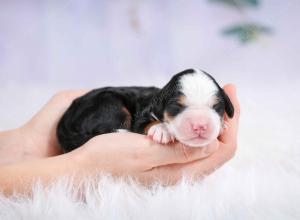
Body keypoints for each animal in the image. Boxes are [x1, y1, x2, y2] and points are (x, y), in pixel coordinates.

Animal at [56, 69, 234, 153]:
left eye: (216, 107)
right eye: (177, 107)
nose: (200, 126)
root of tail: (65, 121)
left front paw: (222, 126)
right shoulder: (142, 116)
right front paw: (161, 130)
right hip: (109, 105)